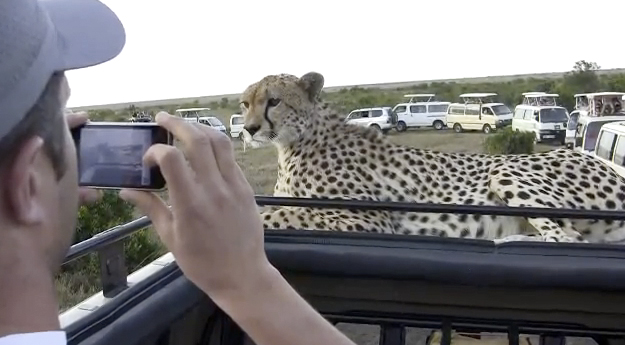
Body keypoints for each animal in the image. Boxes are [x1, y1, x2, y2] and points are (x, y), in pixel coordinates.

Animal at [240, 70, 625, 242]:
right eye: (244, 103)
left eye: (273, 101)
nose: (248, 128)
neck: (294, 142)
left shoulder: (371, 221)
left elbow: (283, 213)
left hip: (505, 171)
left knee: (567, 239)